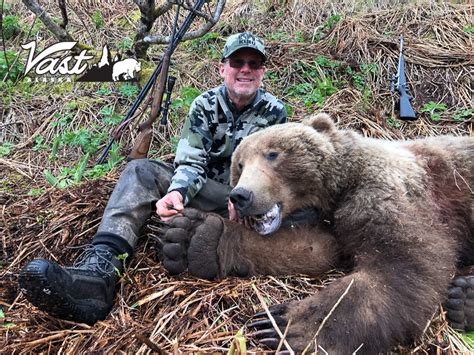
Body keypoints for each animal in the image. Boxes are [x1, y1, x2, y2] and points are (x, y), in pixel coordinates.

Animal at [161, 114, 472, 354]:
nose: (241, 195)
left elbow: (400, 263)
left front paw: (284, 323)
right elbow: (310, 249)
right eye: (240, 164)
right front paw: (195, 237)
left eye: (273, 154)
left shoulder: (389, 191)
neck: (340, 187)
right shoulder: (326, 223)